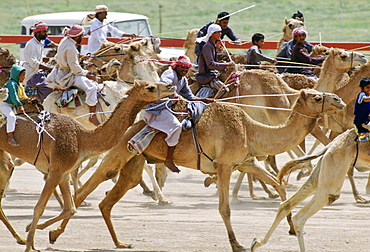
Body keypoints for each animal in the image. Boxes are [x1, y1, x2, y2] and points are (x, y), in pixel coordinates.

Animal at [0, 81, 174, 252]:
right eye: (150, 87)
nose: (171, 86)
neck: (83, 138)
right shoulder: (57, 169)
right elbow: (39, 207)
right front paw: (30, 246)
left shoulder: (63, 172)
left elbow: (70, 208)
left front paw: (39, 232)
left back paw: (20, 237)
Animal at [47, 89, 346, 252]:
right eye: (317, 97)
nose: (340, 101)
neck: (251, 128)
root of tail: (133, 124)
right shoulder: (224, 165)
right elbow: (225, 208)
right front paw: (236, 244)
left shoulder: (245, 162)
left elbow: (279, 184)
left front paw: (291, 228)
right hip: (121, 150)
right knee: (91, 186)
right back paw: (53, 233)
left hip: (136, 160)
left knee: (110, 198)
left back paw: (120, 243)